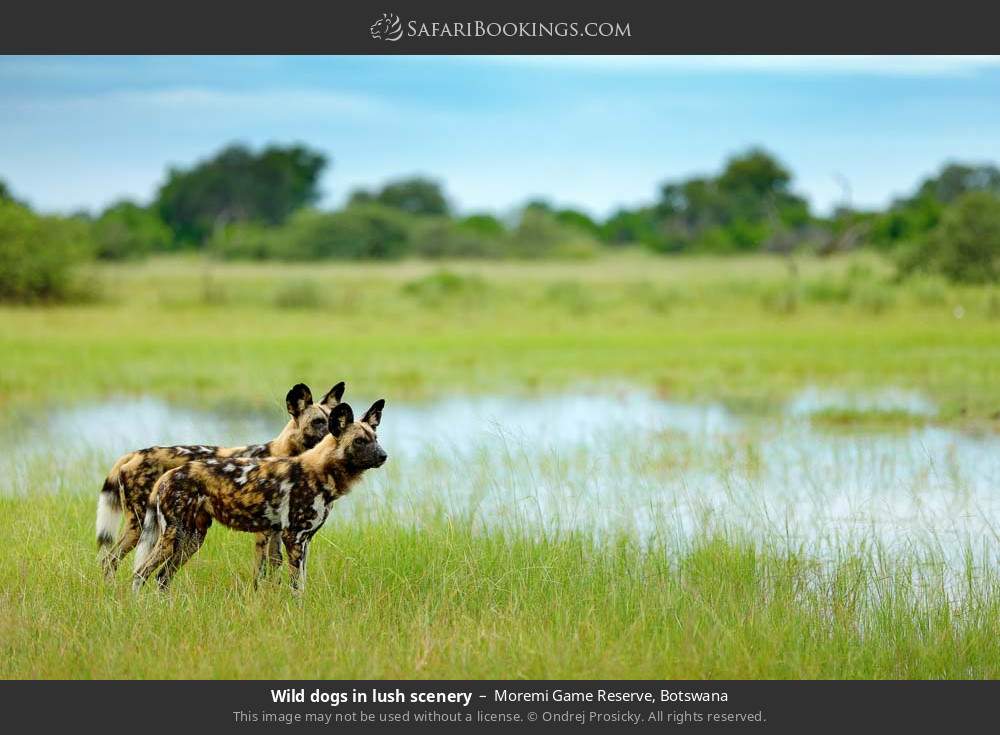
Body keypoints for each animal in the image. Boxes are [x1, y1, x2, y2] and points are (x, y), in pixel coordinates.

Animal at [97, 380, 346, 580]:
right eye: (317, 422)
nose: (334, 437)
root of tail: (135, 454)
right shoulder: (264, 533)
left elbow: (275, 568)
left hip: (191, 535)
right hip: (142, 526)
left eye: (333, 419)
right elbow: (261, 574)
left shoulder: (276, 532)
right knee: (110, 560)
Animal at [130, 400, 386, 596]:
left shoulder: (306, 540)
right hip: (172, 537)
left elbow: (301, 582)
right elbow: (296, 588)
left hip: (192, 539)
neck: (321, 472)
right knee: (140, 573)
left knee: (162, 578)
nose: (384, 456)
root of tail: (168, 475)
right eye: (359, 441)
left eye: (375, 437)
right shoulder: (293, 537)